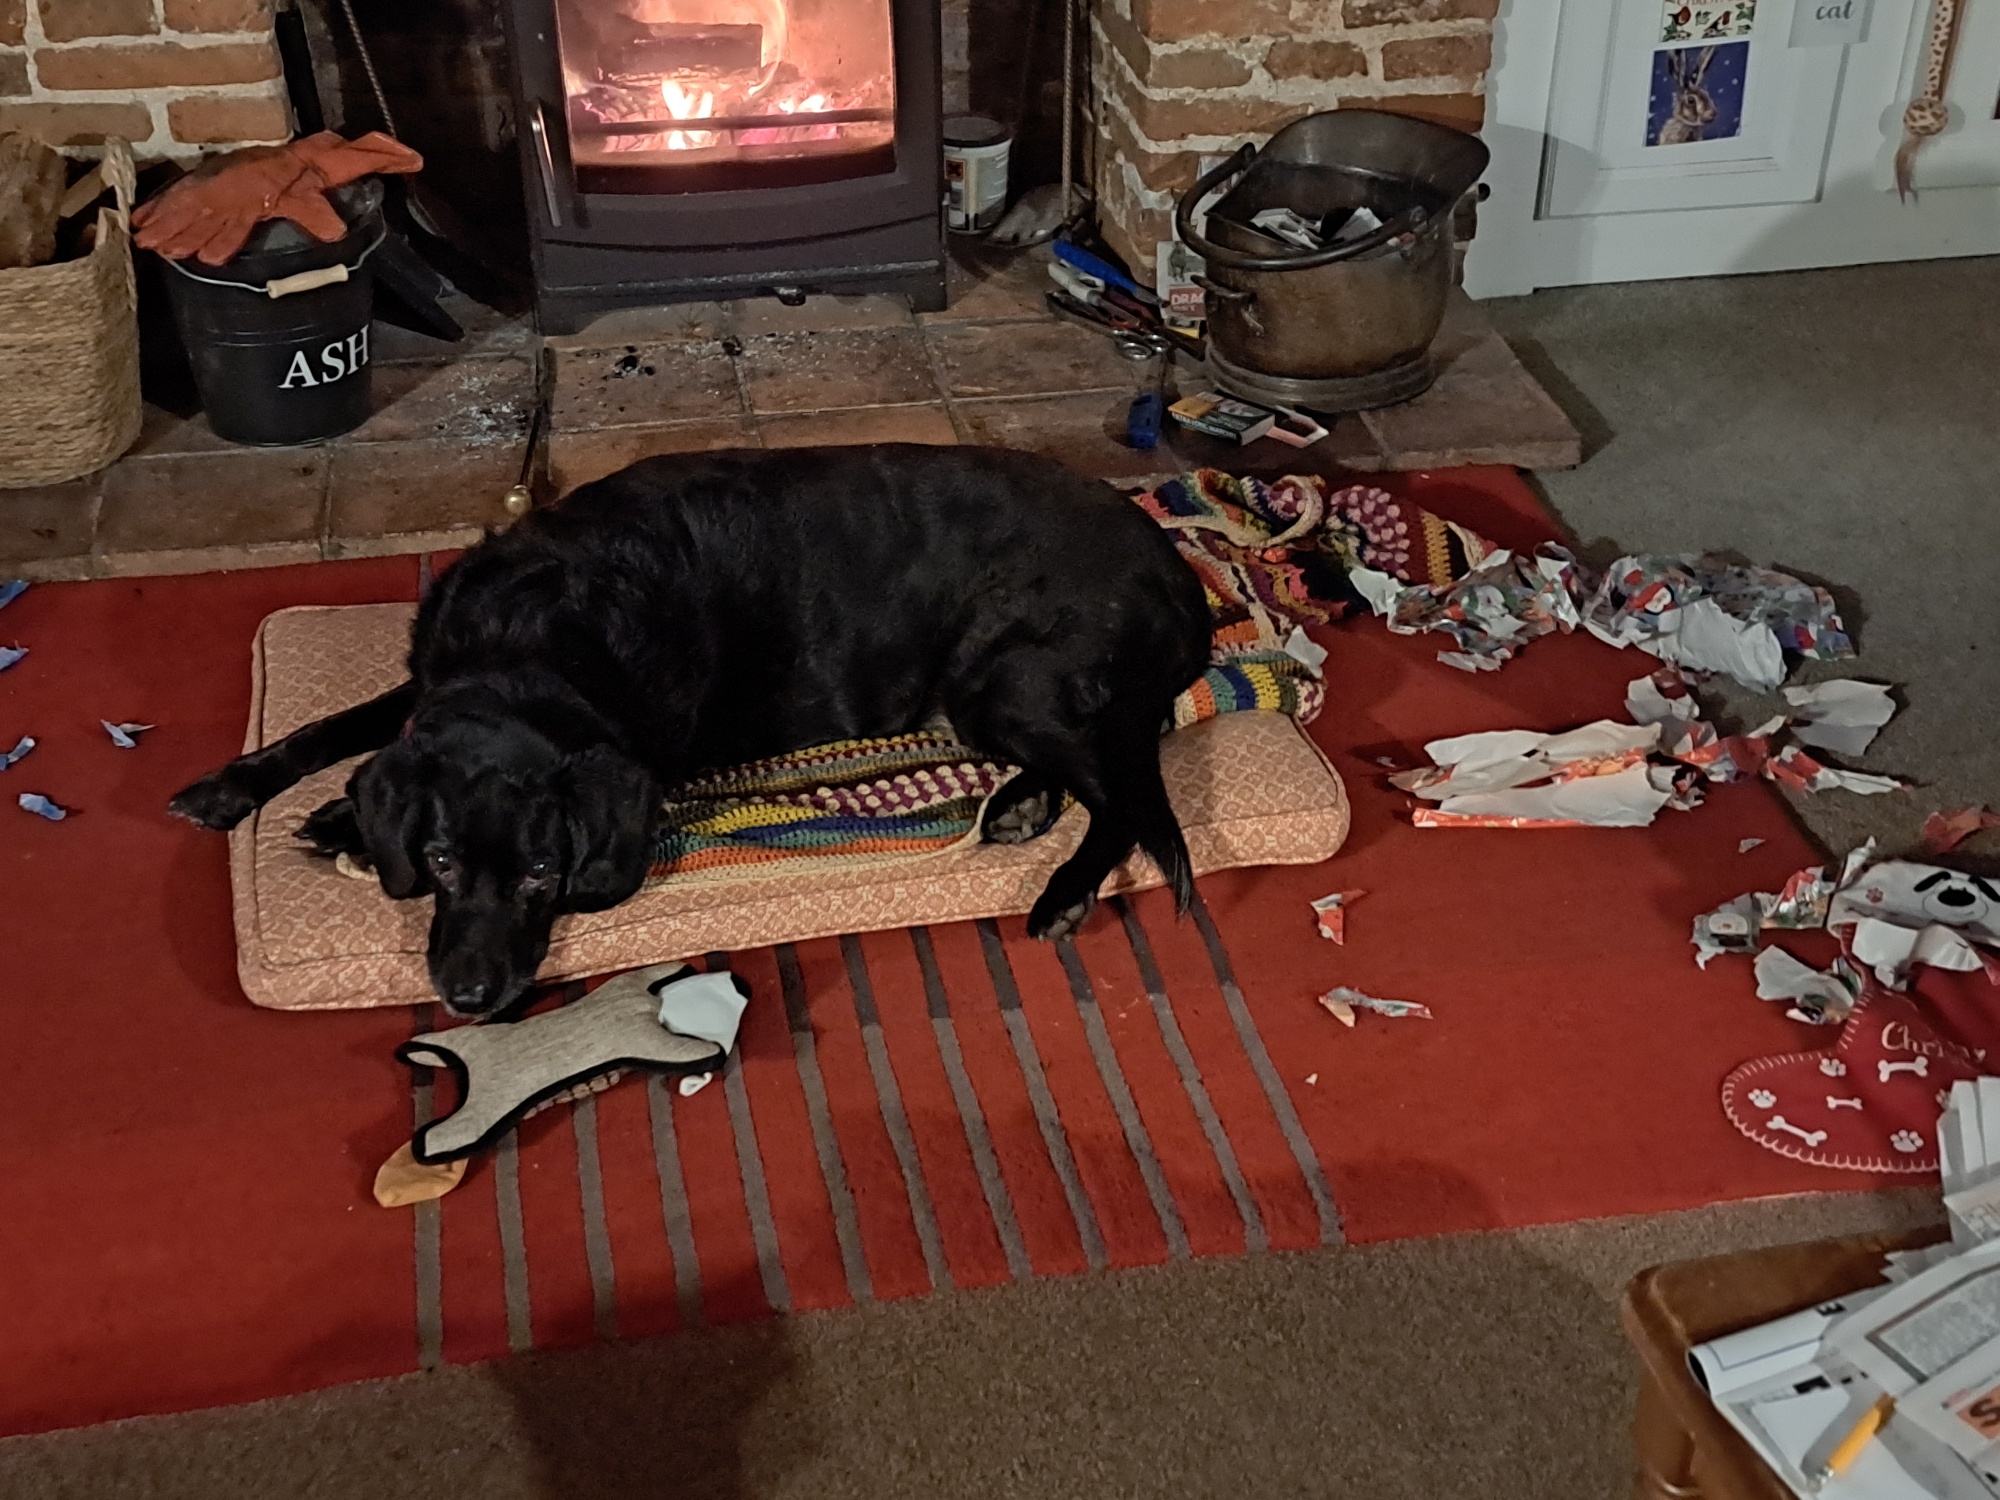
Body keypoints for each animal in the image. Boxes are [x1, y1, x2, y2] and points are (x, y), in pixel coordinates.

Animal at [170, 444, 1212, 1016]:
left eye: (544, 875)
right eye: (441, 864)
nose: (471, 998)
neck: (531, 644)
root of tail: (1176, 570)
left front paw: (339, 823)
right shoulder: (427, 680)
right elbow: (330, 727)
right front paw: (252, 788)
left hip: (1000, 679)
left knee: (1125, 792)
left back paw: (1064, 887)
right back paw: (1023, 805)